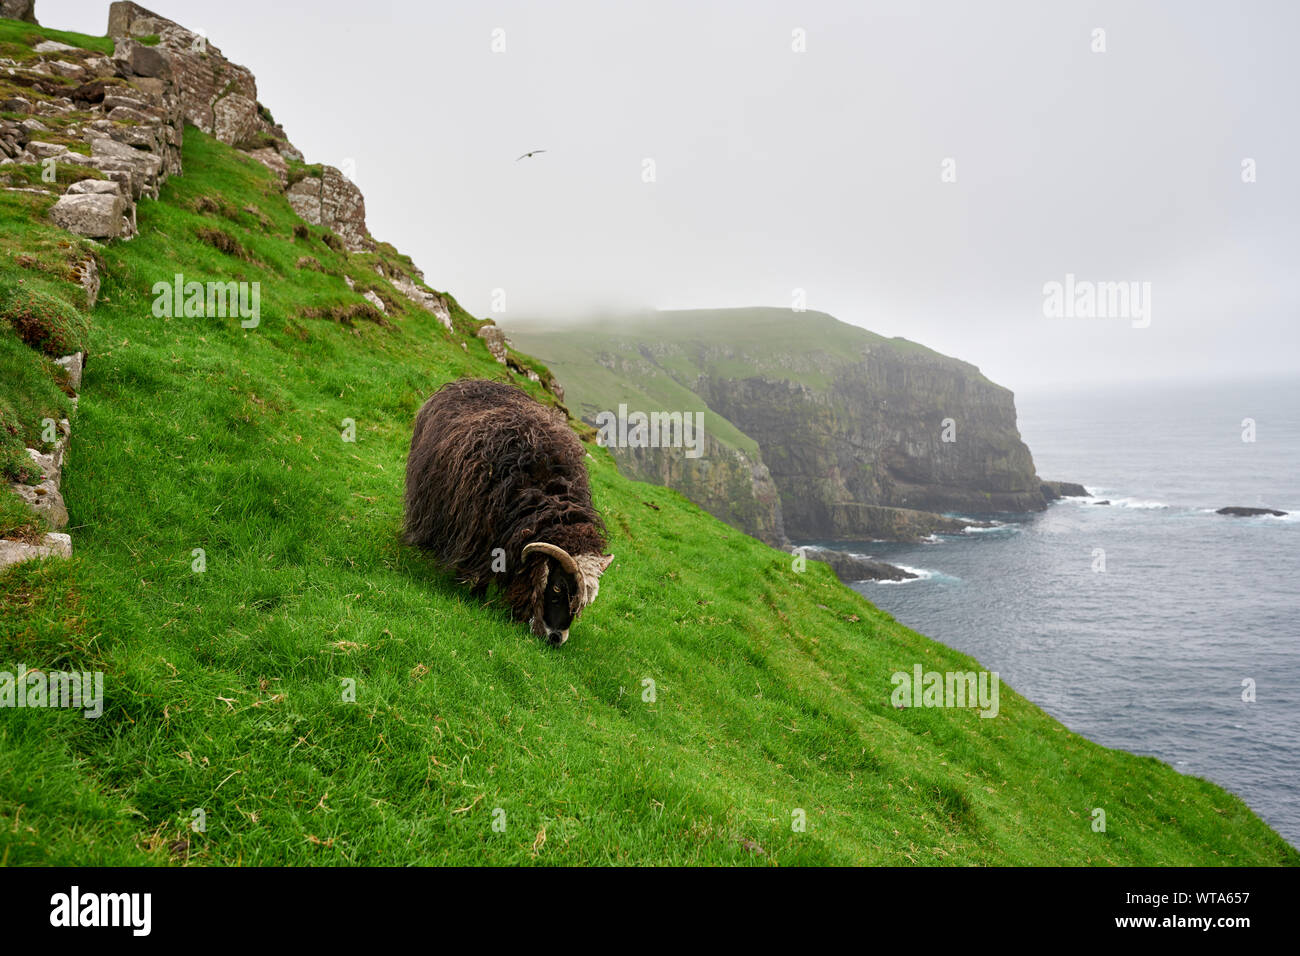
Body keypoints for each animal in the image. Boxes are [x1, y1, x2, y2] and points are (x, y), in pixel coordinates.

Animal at [403, 379, 611, 642]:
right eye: (557, 586)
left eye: (583, 603)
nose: (556, 639)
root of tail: (472, 381)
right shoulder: (481, 528)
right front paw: (476, 594)